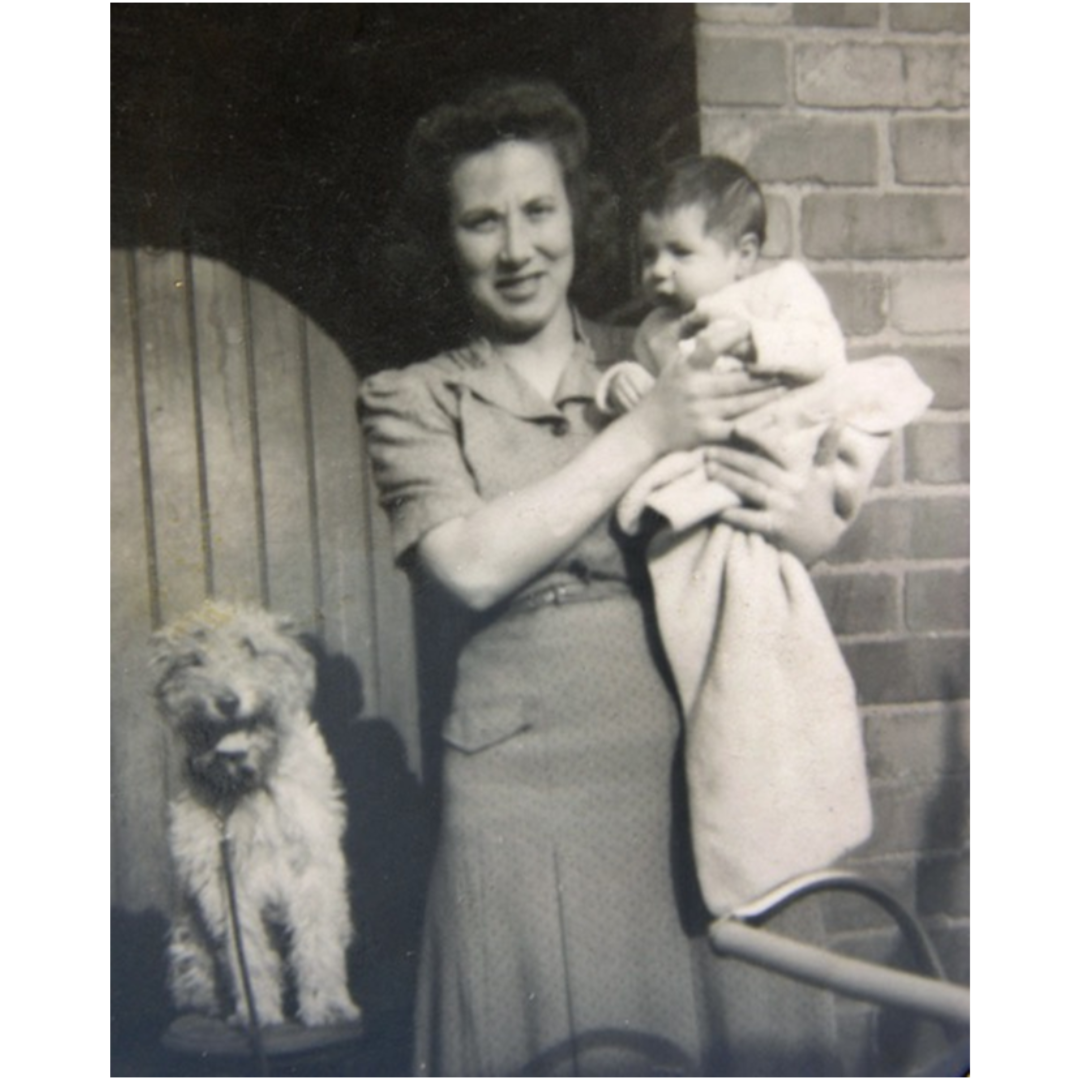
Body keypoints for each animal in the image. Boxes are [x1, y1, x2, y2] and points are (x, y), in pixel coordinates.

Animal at [150, 600, 360, 1028]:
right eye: (193, 659)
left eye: (250, 648)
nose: (227, 702)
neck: (245, 783)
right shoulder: (224, 883)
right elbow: (245, 951)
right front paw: (257, 1011)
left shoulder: (313, 866)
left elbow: (317, 941)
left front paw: (327, 1005)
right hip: (187, 940)